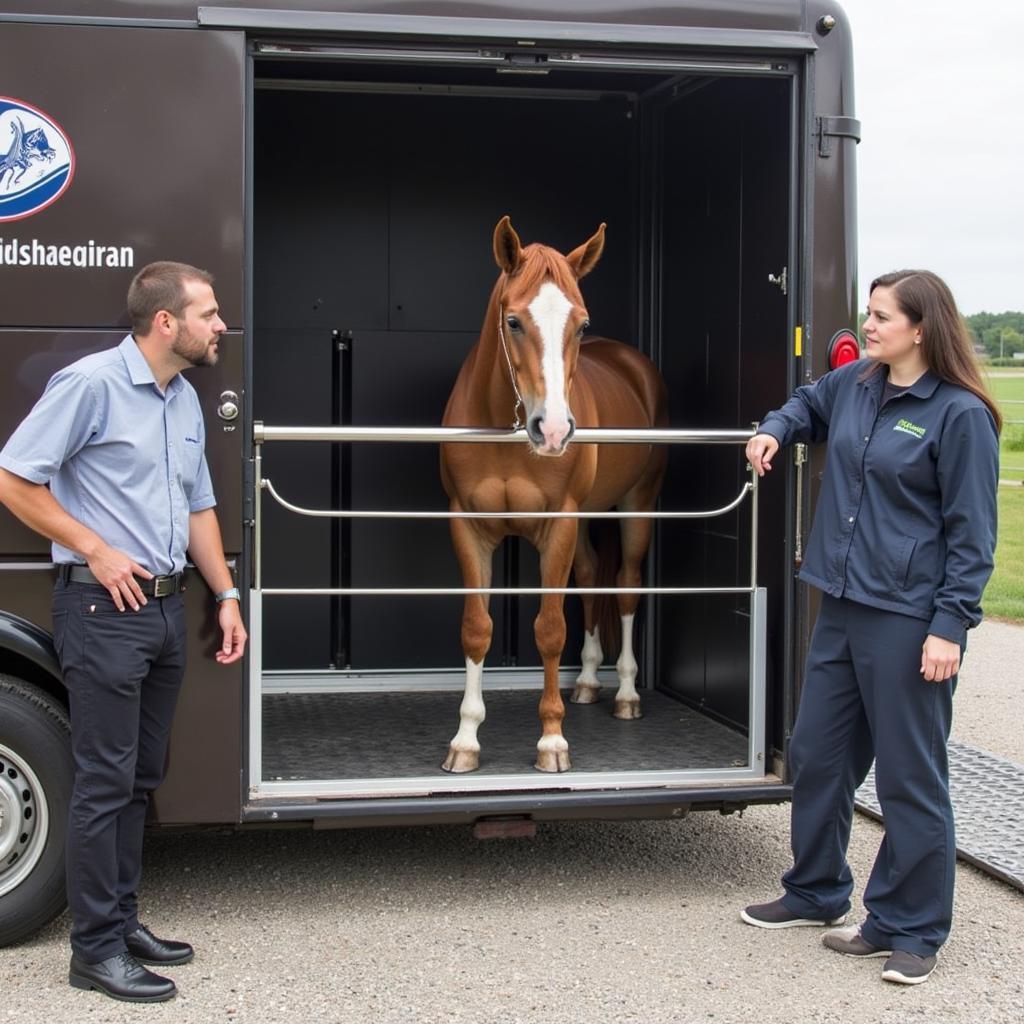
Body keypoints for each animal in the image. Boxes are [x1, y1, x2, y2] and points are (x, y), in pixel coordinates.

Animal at [442, 218, 671, 774]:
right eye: (513, 321)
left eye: (581, 325)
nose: (552, 430)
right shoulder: (467, 527)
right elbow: (476, 627)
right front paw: (466, 739)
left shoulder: (559, 525)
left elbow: (549, 629)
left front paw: (552, 740)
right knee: (589, 577)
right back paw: (587, 681)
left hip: (637, 505)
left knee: (625, 587)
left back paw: (626, 693)